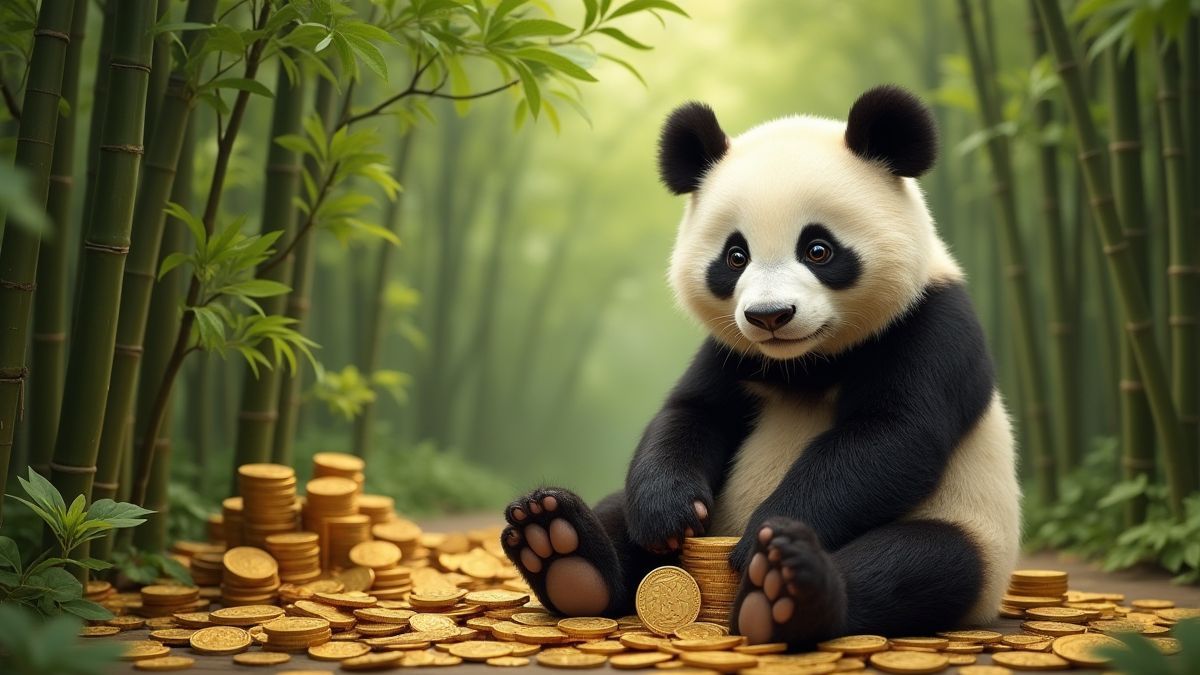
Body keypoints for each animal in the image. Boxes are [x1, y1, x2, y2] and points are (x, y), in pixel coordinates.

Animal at [499, 85, 1020, 647]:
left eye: (818, 249)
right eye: (735, 256)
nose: (770, 315)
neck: (807, 360)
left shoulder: (932, 326)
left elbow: (891, 435)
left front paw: (759, 539)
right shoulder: (733, 351)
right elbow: (691, 412)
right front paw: (669, 514)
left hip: (974, 528)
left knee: (923, 563)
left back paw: (783, 589)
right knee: (617, 510)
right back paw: (561, 548)